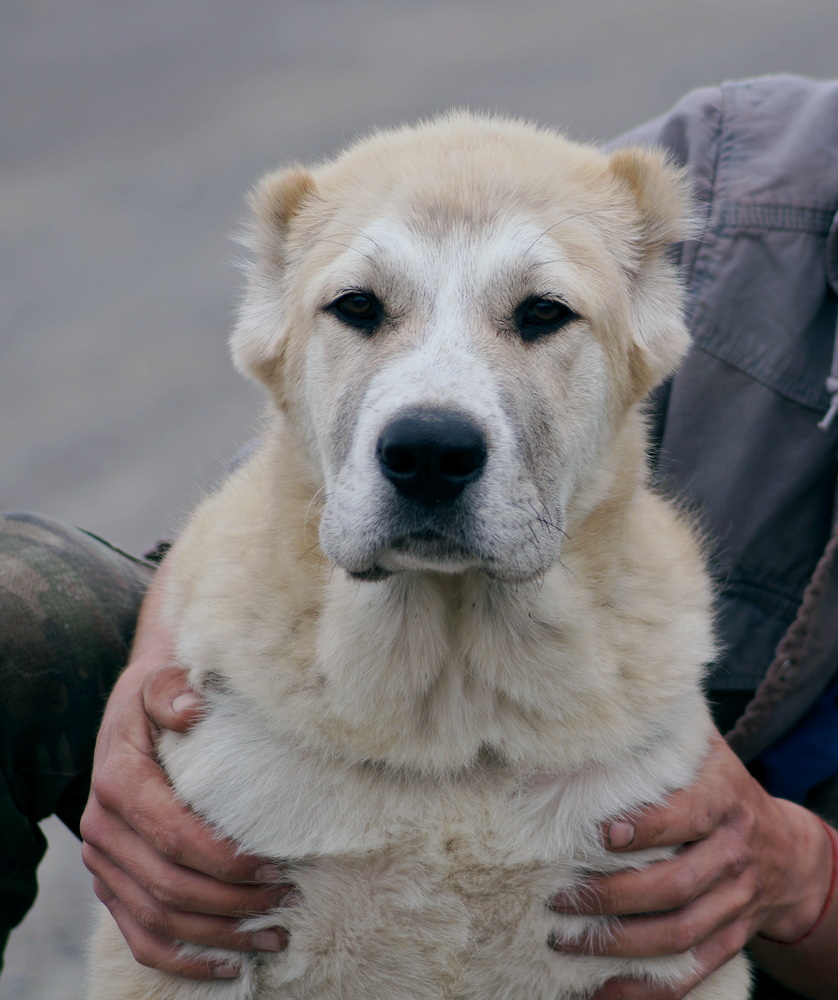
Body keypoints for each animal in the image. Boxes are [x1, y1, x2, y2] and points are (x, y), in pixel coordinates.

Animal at [88, 113, 751, 999]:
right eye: (357, 307)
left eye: (543, 313)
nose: (430, 451)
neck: (452, 719)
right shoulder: (188, 939)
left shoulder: (664, 938)